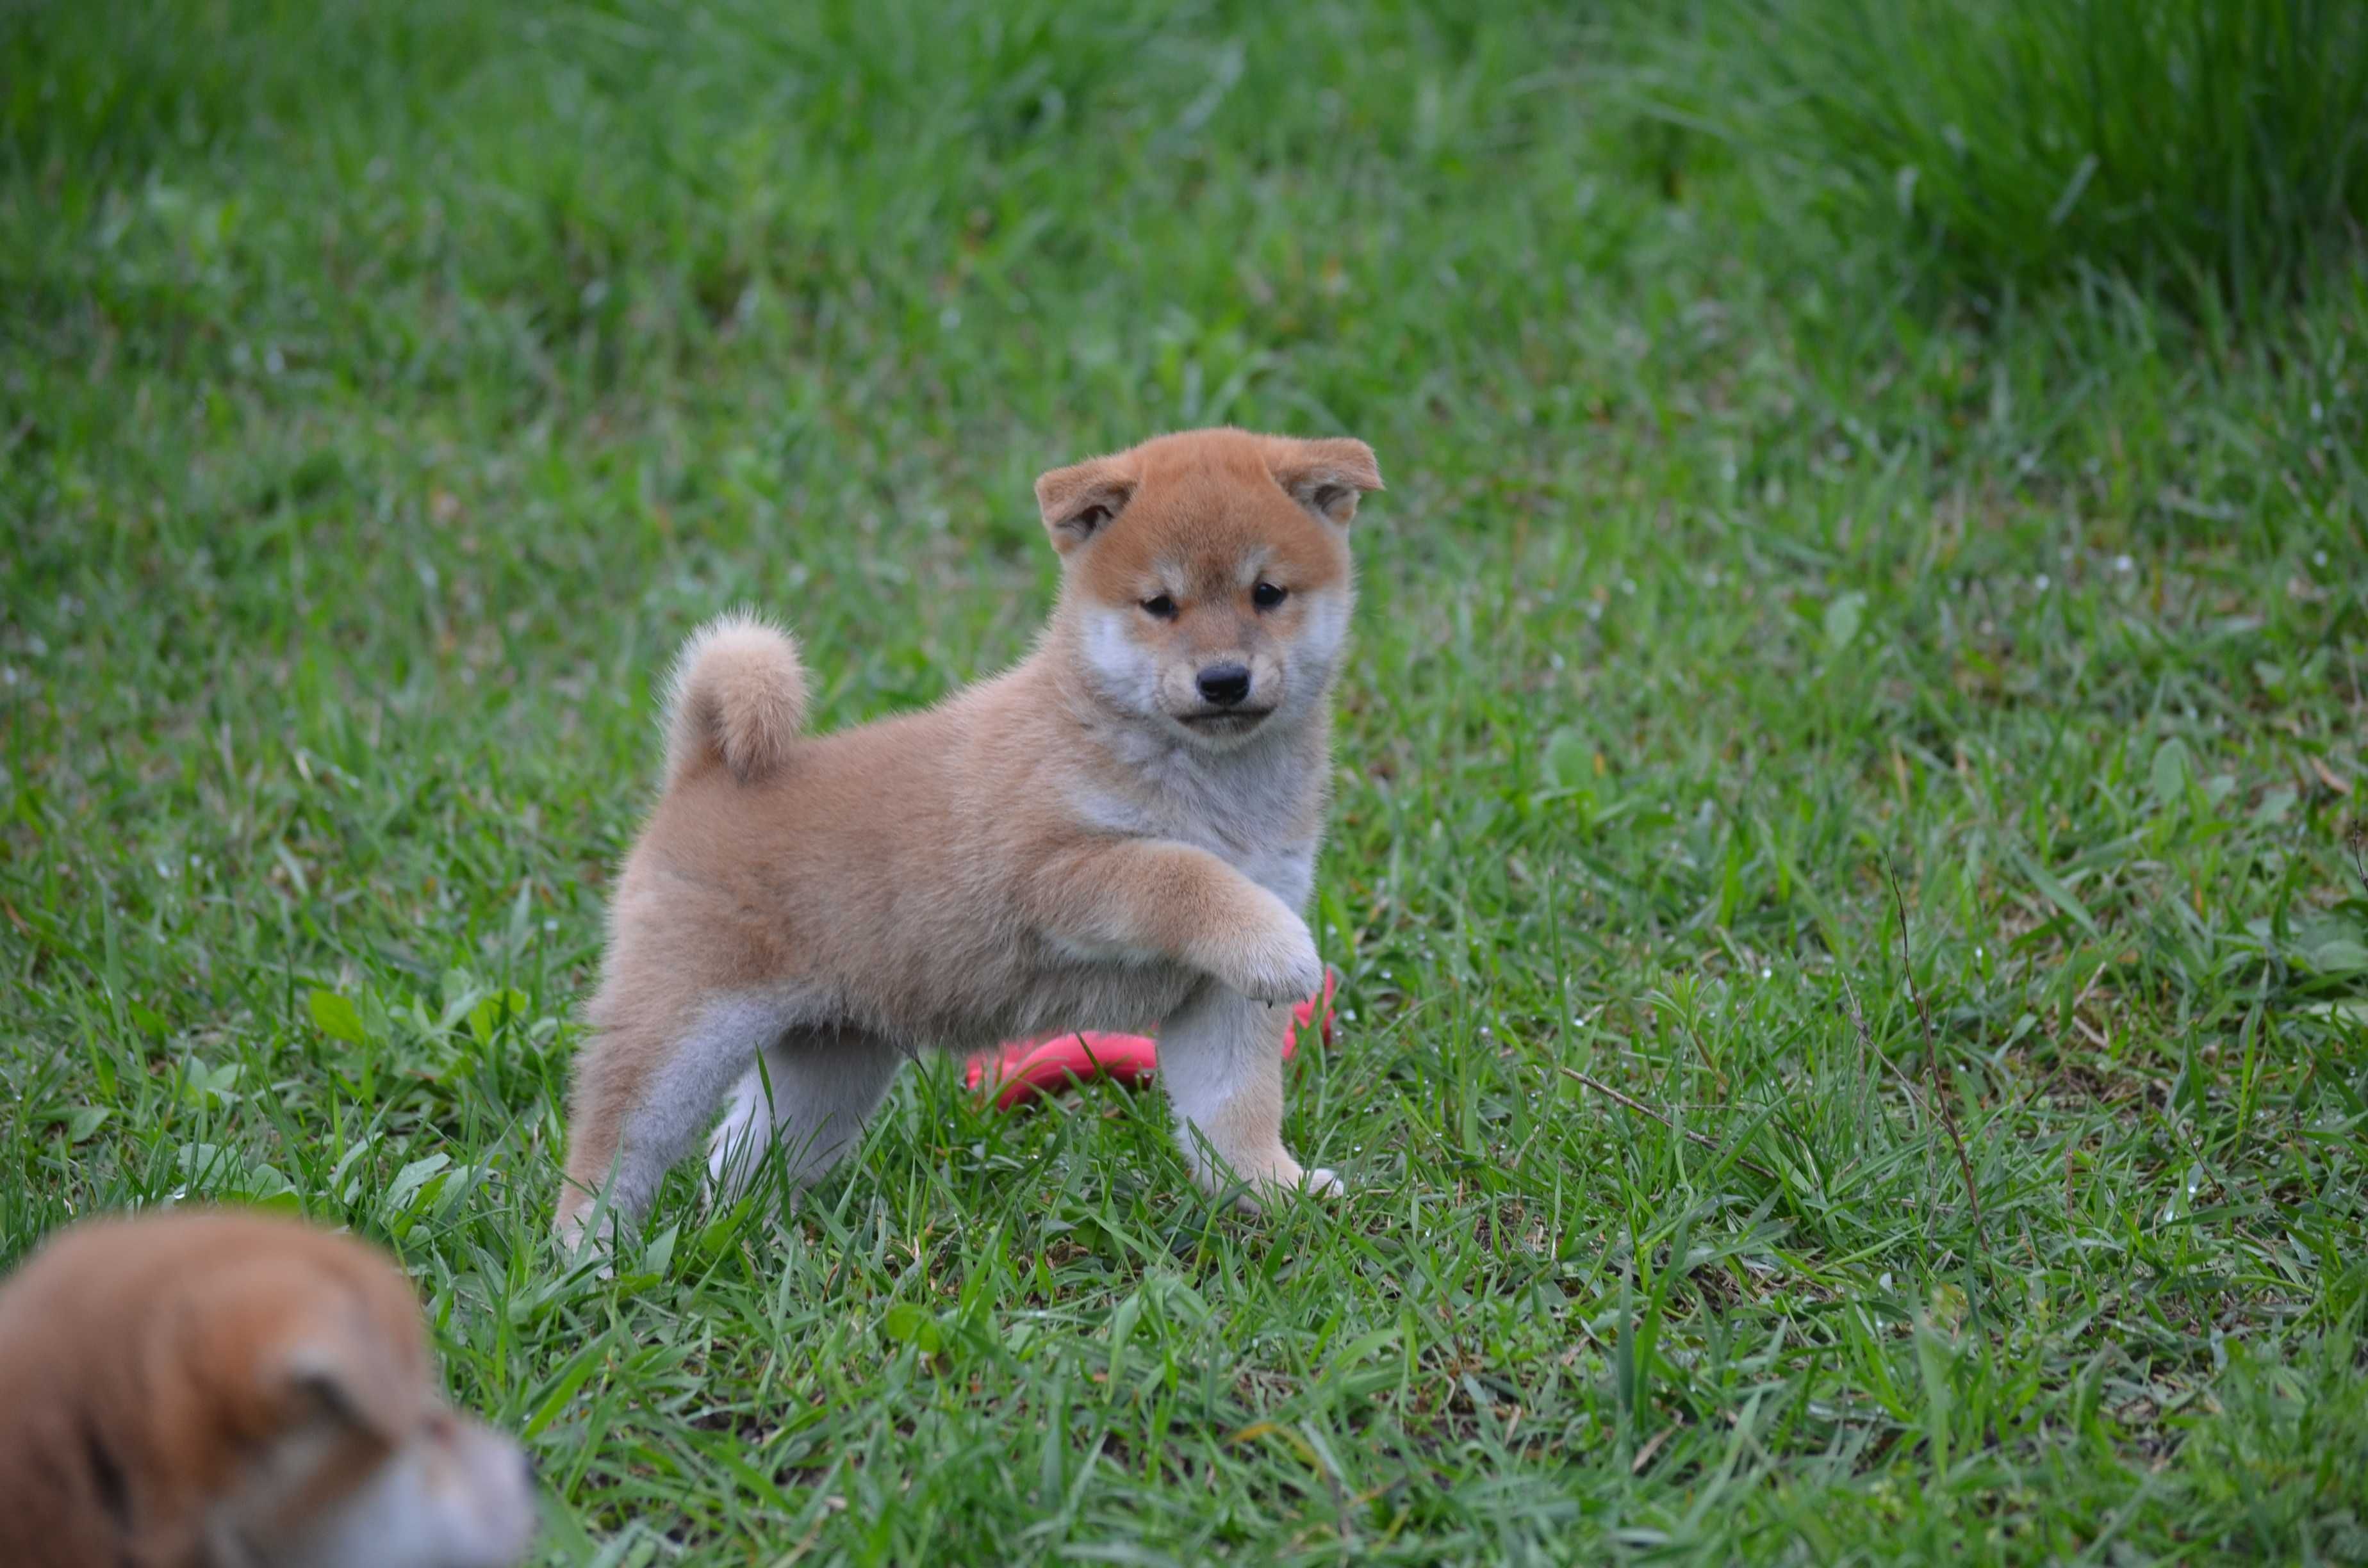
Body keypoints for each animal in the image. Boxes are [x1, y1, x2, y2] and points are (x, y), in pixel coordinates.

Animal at [554, 423, 1383, 1250]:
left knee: (741, 1153)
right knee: (611, 1148)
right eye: (1160, 605)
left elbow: (1234, 1111)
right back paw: (590, 1256)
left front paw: (1273, 1194)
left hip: (831, 1063)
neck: (1207, 779)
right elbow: (1179, 872)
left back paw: (745, 1234)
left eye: (1267, 593)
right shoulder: (1053, 871)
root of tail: (701, 773)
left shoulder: (1222, 993)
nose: (1223, 680)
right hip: (679, 1033)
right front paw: (1280, 947)